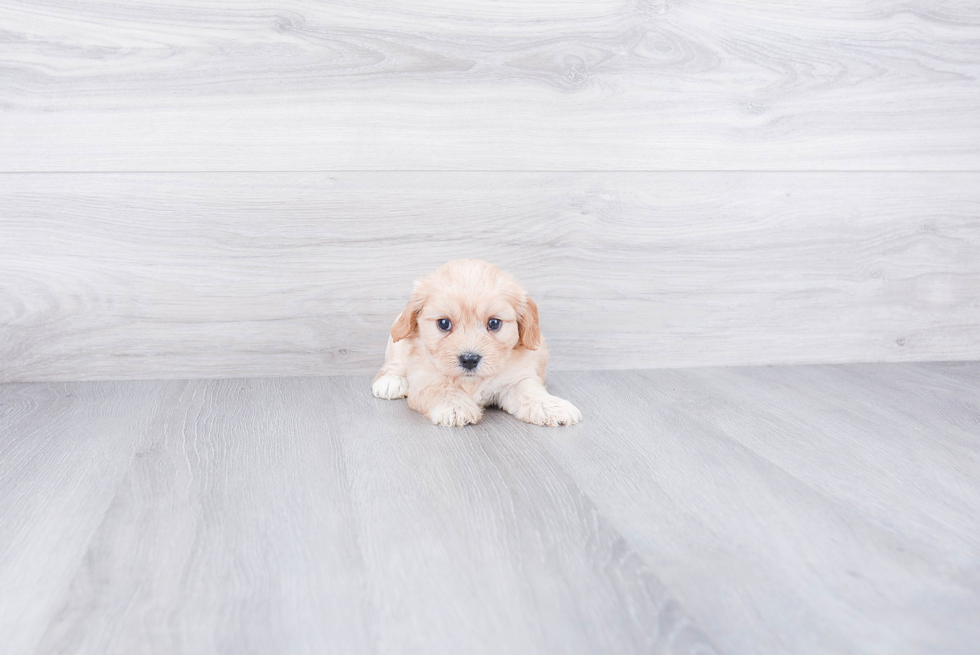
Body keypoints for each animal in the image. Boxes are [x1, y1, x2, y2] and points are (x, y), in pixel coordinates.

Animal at [372, 258, 580, 428]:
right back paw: (390, 381)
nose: (469, 359)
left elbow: (530, 392)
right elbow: (442, 388)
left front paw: (552, 407)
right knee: (395, 361)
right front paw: (456, 407)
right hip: (396, 337)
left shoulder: (518, 378)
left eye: (494, 323)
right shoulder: (425, 379)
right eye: (444, 323)